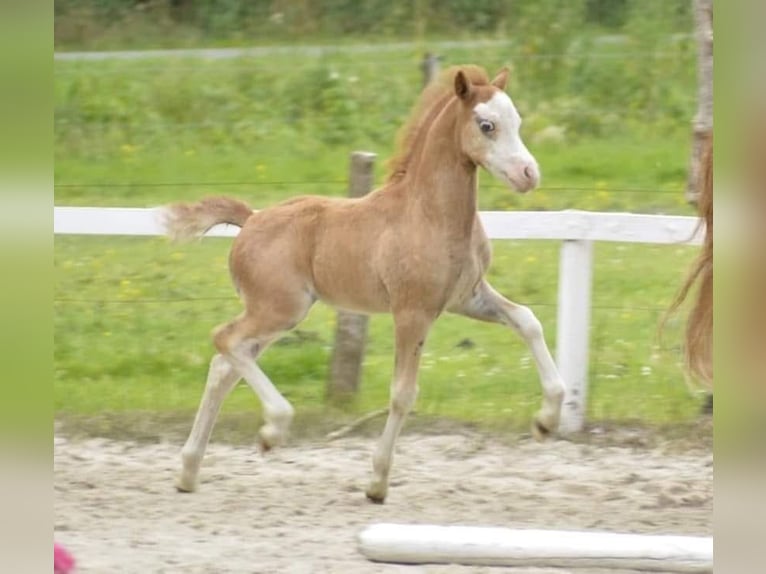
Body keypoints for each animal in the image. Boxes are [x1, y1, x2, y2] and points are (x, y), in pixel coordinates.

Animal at [163, 65, 566, 503]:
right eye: (487, 125)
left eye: (518, 121)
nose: (529, 175)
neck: (428, 214)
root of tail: (251, 219)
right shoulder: (412, 312)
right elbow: (403, 393)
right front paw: (377, 483)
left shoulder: (467, 297)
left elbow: (527, 320)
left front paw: (546, 421)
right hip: (279, 309)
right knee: (225, 340)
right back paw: (272, 429)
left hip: (276, 314)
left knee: (224, 364)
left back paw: (189, 472)